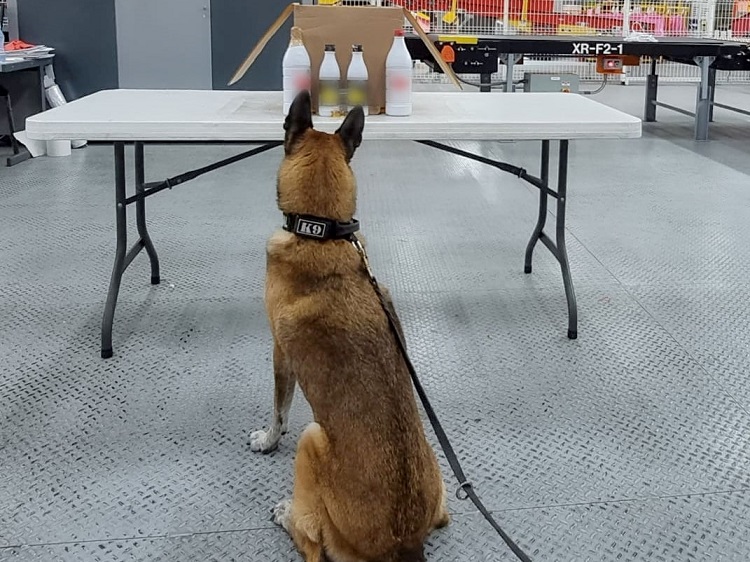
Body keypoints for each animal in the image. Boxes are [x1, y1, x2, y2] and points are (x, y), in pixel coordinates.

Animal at [250, 89, 450, 556]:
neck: (319, 231)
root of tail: (404, 542)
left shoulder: (280, 354)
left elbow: (279, 409)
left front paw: (268, 440)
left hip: (312, 437)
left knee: (311, 541)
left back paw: (285, 513)